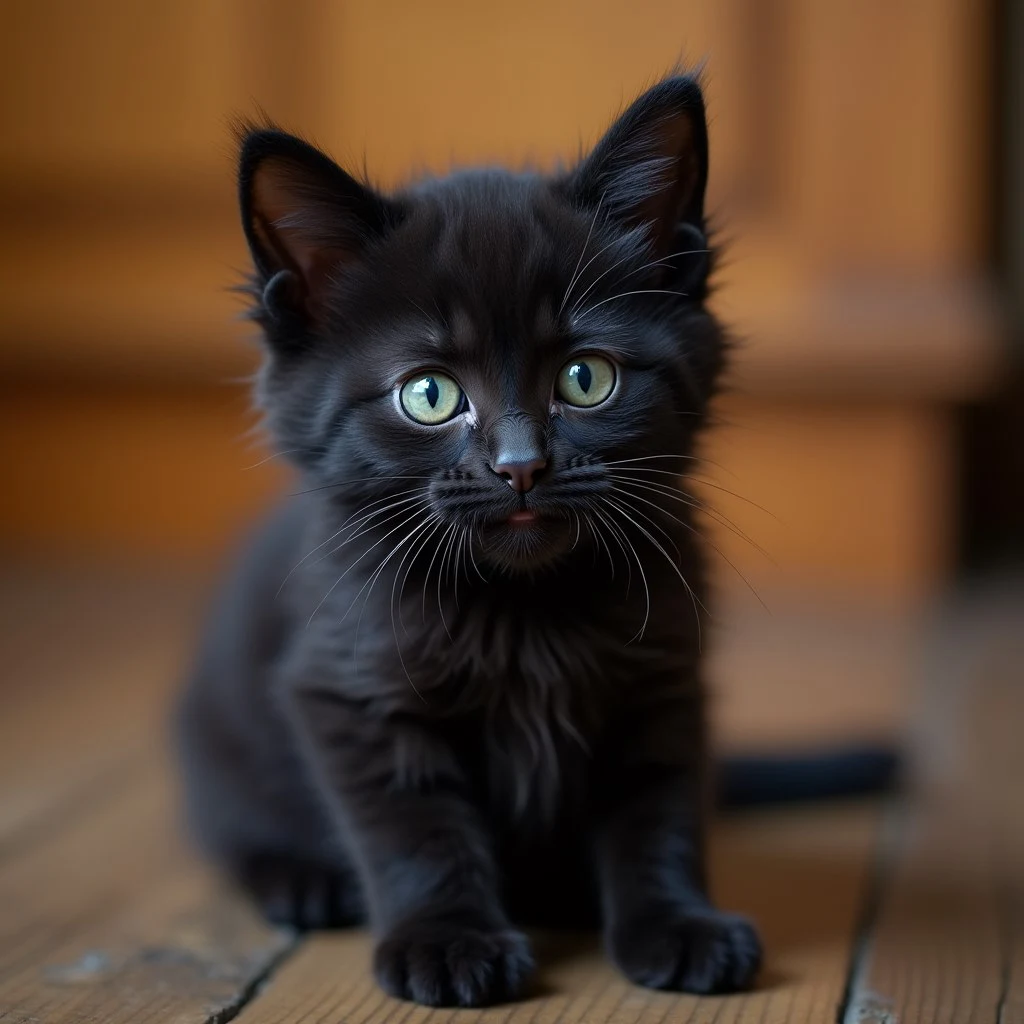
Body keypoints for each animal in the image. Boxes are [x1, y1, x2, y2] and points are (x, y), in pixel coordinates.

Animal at [178, 75, 761, 1003]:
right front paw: (446, 941)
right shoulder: (349, 691)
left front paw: (679, 924)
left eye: (585, 378)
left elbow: (657, 814)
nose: (521, 465)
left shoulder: (664, 677)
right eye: (429, 395)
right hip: (217, 743)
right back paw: (303, 881)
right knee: (236, 829)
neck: (525, 611)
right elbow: (418, 830)